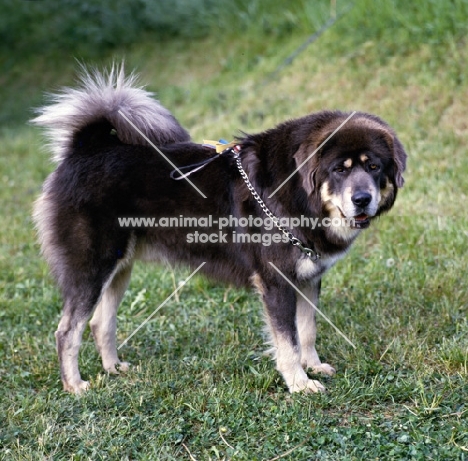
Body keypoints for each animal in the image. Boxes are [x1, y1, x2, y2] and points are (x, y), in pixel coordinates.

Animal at [33, 65, 406, 396]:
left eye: (374, 167)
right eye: (339, 170)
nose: (362, 199)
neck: (298, 190)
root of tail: (84, 148)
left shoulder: (308, 278)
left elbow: (307, 331)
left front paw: (312, 366)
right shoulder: (276, 281)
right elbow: (288, 341)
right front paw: (299, 383)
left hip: (119, 267)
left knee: (100, 323)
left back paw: (113, 368)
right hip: (92, 267)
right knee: (67, 332)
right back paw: (75, 386)